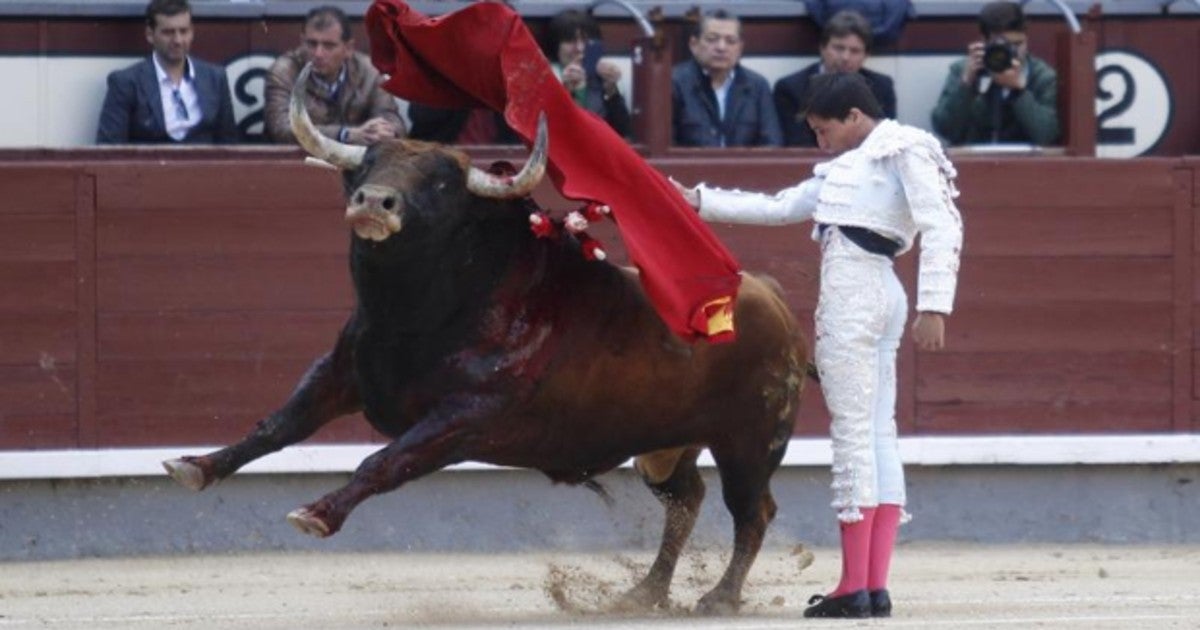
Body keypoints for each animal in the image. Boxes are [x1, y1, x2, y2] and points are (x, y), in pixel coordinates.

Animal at [166, 65, 806, 614]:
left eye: (441, 183)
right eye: (366, 164)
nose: (374, 202)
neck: (412, 318)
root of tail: (770, 293)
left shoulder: (465, 418)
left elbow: (381, 461)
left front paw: (317, 513)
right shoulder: (341, 373)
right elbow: (276, 425)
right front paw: (197, 465)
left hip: (749, 443)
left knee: (754, 511)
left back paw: (719, 598)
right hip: (665, 444)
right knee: (686, 502)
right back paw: (643, 594)